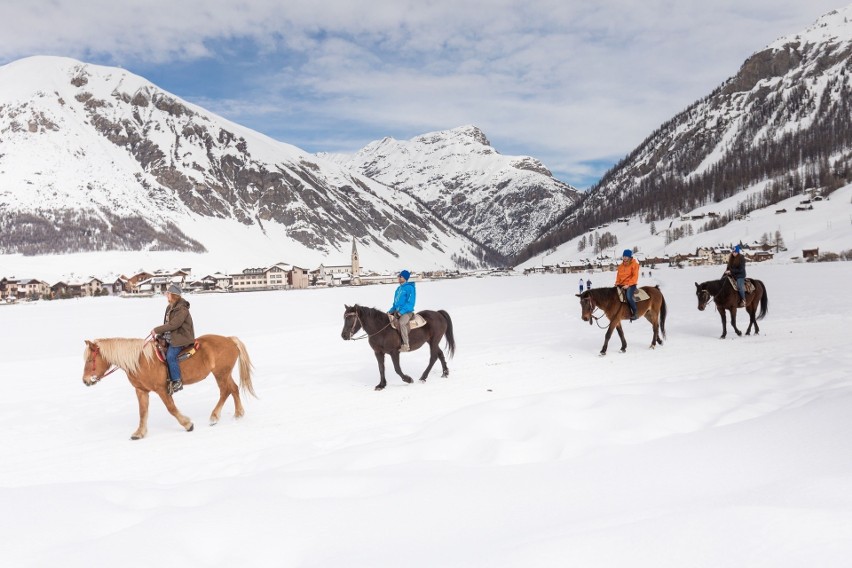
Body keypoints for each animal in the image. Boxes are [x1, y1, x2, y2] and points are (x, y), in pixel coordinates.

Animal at [83, 336, 256, 442]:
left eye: (90, 359)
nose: (85, 381)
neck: (141, 361)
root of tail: (229, 339)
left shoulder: (162, 389)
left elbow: (171, 408)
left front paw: (188, 424)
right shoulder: (141, 391)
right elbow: (142, 413)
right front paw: (139, 433)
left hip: (221, 373)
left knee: (225, 391)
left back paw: (214, 417)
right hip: (224, 373)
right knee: (233, 389)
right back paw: (238, 414)